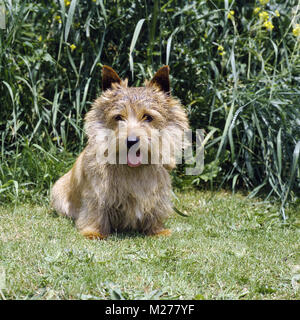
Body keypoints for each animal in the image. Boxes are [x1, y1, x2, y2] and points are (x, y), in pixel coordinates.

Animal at [50, 65, 189, 239]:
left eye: (148, 117)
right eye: (118, 117)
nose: (131, 141)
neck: (133, 169)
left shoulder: (156, 191)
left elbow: (154, 208)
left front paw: (157, 230)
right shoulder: (97, 192)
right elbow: (95, 210)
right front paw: (94, 232)